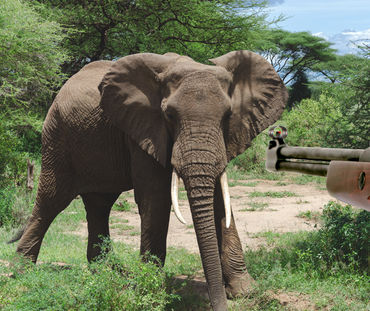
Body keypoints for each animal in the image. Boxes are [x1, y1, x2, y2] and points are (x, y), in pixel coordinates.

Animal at [15, 50, 288, 310]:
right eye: (169, 115)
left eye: (228, 115)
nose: (220, 304)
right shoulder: (144, 129)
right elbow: (155, 198)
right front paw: (150, 291)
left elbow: (220, 199)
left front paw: (244, 291)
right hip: (57, 135)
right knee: (51, 200)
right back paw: (22, 272)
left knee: (99, 205)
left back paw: (109, 273)